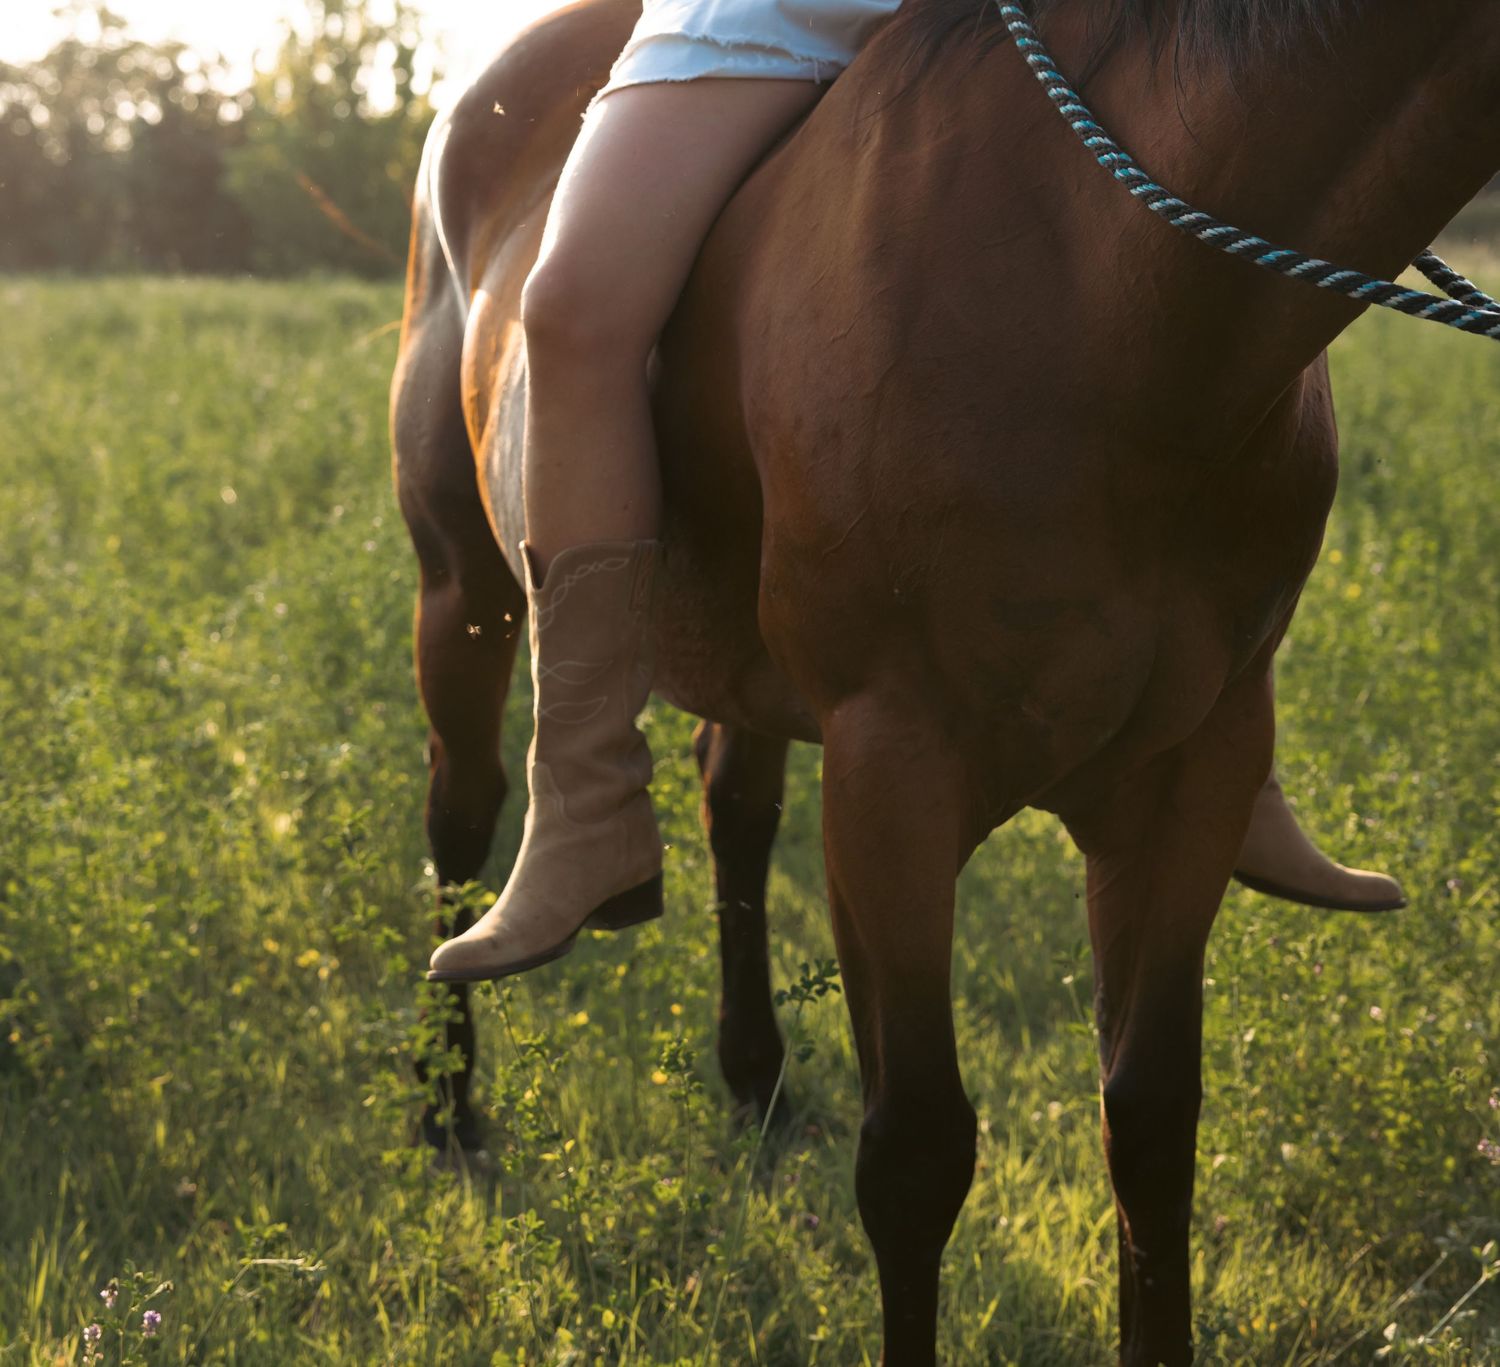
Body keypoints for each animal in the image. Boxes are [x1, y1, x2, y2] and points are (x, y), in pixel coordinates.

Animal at [390, 0, 1500, 1359]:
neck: (1110, 287)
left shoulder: (1195, 768)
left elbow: (1152, 1123)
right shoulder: (894, 776)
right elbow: (917, 1155)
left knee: (734, 807)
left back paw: (756, 1083)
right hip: (465, 589)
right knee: (464, 809)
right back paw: (451, 1101)